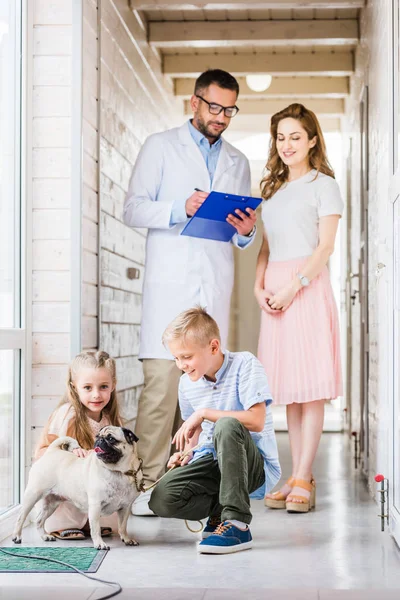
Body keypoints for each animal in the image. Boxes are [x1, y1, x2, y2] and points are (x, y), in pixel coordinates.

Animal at [11, 426, 145, 548]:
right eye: (97, 436)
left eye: (111, 439)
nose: (99, 440)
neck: (118, 472)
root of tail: (51, 452)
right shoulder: (95, 506)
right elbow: (95, 529)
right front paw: (99, 543)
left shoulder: (125, 508)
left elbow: (122, 526)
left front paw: (127, 539)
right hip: (33, 495)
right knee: (20, 518)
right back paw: (17, 536)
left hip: (51, 503)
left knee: (39, 520)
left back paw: (44, 536)